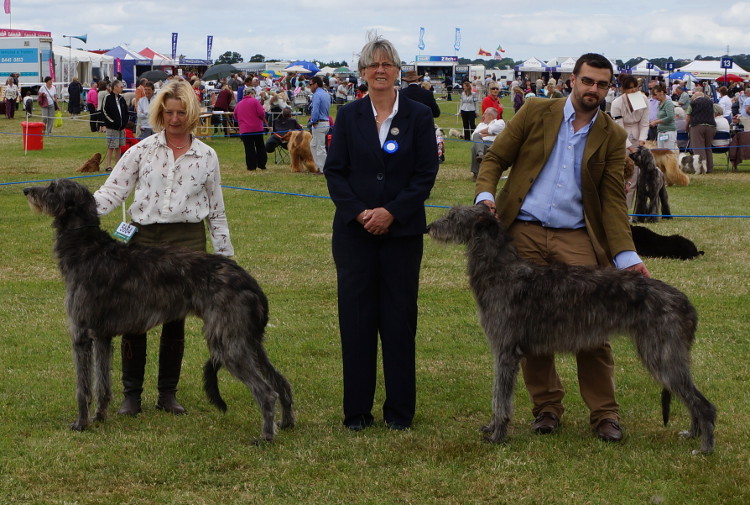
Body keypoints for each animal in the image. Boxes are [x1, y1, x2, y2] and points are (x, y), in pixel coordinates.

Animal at [24, 178, 294, 440]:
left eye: (53, 188)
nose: (27, 190)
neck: (87, 248)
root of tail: (249, 280)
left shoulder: (80, 333)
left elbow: (83, 388)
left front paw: (81, 423)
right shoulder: (102, 336)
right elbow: (103, 383)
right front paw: (100, 417)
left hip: (227, 341)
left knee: (266, 391)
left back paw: (266, 436)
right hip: (248, 340)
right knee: (280, 381)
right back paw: (287, 422)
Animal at [428, 205, 716, 452]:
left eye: (453, 216)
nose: (429, 227)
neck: (501, 270)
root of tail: (687, 304)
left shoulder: (505, 351)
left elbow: (501, 399)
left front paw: (498, 435)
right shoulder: (504, 351)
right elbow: (498, 394)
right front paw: (491, 428)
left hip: (661, 353)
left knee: (703, 404)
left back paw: (704, 448)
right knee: (691, 398)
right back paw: (693, 434)